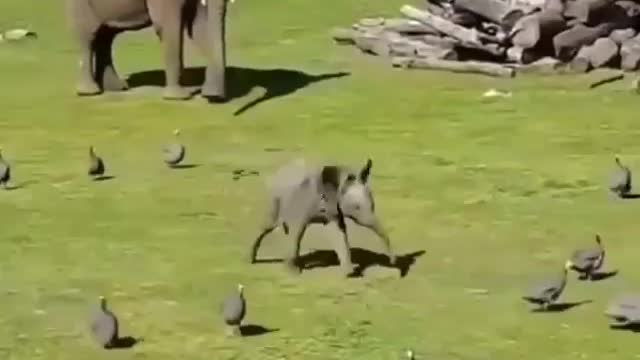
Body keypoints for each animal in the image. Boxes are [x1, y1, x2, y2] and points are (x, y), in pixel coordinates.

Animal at [249, 158, 396, 276]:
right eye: (357, 207)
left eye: (373, 205)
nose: (393, 262)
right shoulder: (303, 199)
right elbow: (297, 231)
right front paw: (293, 272)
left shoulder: (334, 207)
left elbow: (339, 232)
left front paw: (349, 273)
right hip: (274, 200)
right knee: (268, 226)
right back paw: (250, 260)